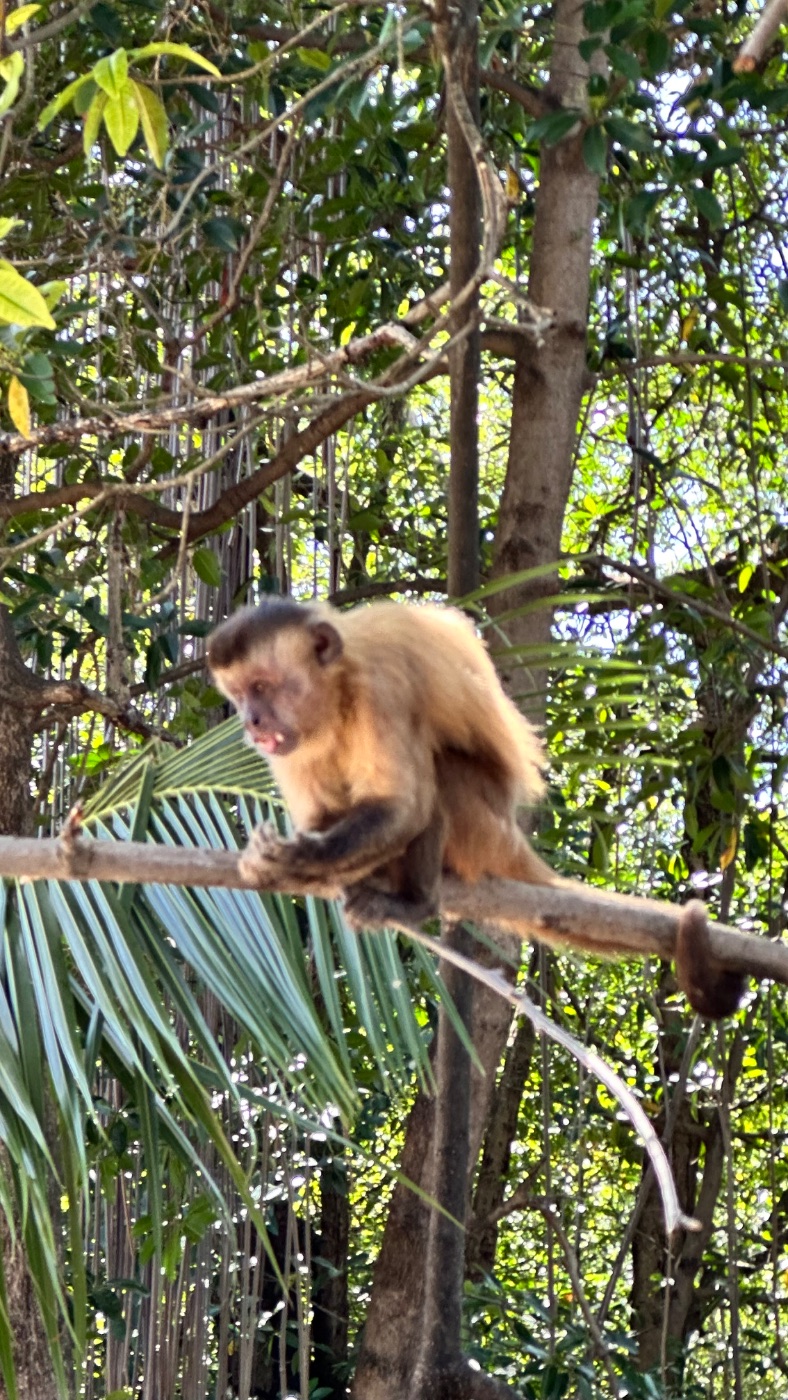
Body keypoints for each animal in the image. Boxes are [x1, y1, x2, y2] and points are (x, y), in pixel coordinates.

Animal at [206, 596, 746, 1020]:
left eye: (261, 687)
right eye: (238, 695)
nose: (251, 723)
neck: (336, 693)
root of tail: (512, 835)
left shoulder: (383, 688)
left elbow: (406, 808)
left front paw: (297, 859)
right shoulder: (293, 744)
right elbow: (324, 816)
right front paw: (298, 862)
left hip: (483, 826)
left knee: (438, 774)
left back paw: (415, 901)